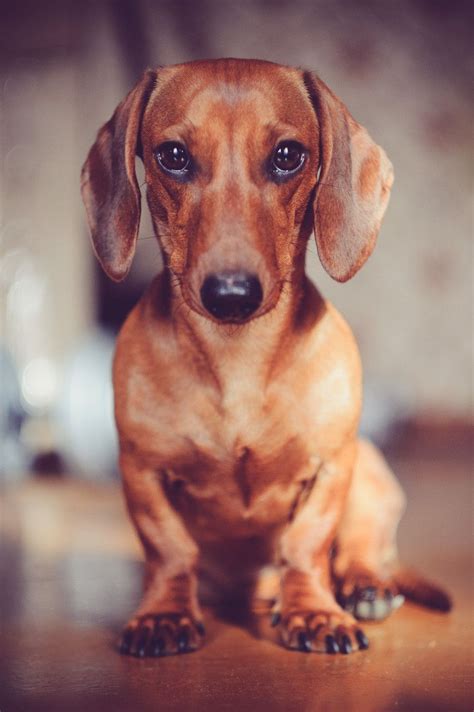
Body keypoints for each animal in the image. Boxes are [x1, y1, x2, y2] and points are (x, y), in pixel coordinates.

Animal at [81, 58, 452, 660]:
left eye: (287, 155)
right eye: (173, 155)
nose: (231, 295)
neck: (239, 359)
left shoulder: (332, 467)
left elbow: (307, 544)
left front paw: (315, 611)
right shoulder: (141, 471)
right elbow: (170, 549)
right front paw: (163, 613)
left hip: (371, 473)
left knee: (362, 548)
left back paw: (364, 588)